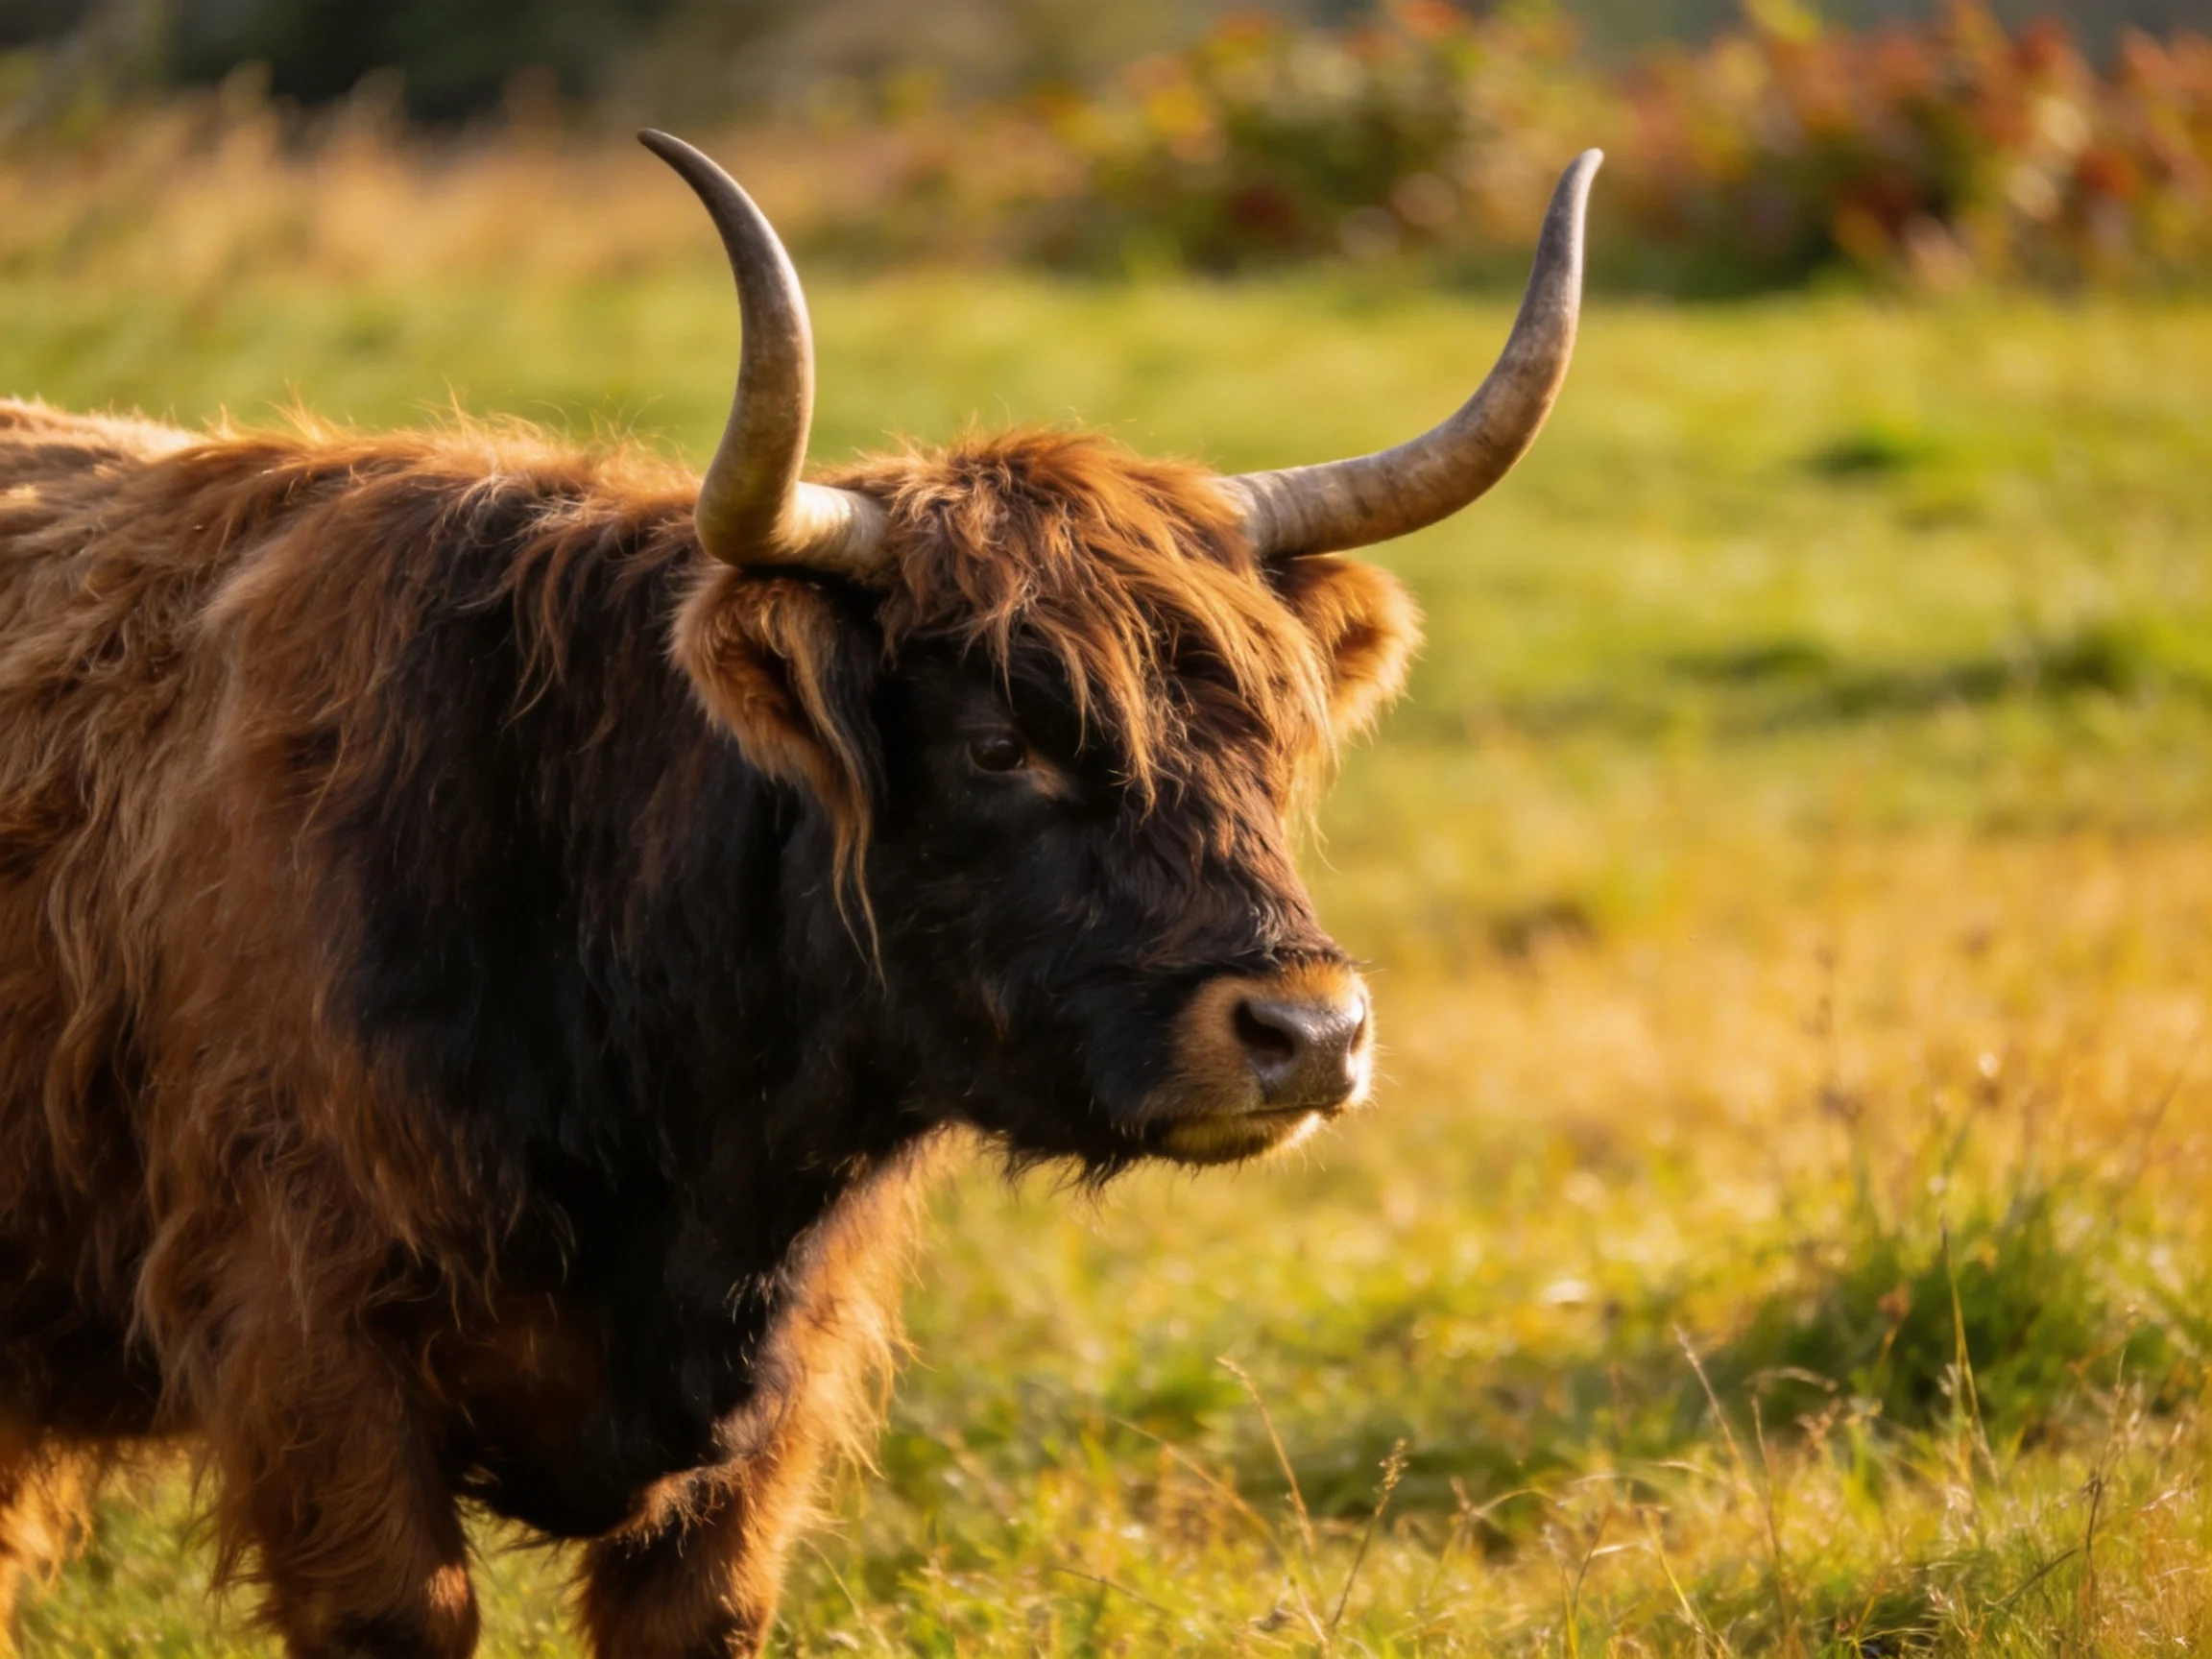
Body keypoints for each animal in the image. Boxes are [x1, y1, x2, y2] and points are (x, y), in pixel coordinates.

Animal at [0, 131, 1598, 1656]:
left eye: (1268, 740)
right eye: (999, 743)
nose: (1309, 1033)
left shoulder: (766, 1418)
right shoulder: (307, 1340)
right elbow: (399, 1611)